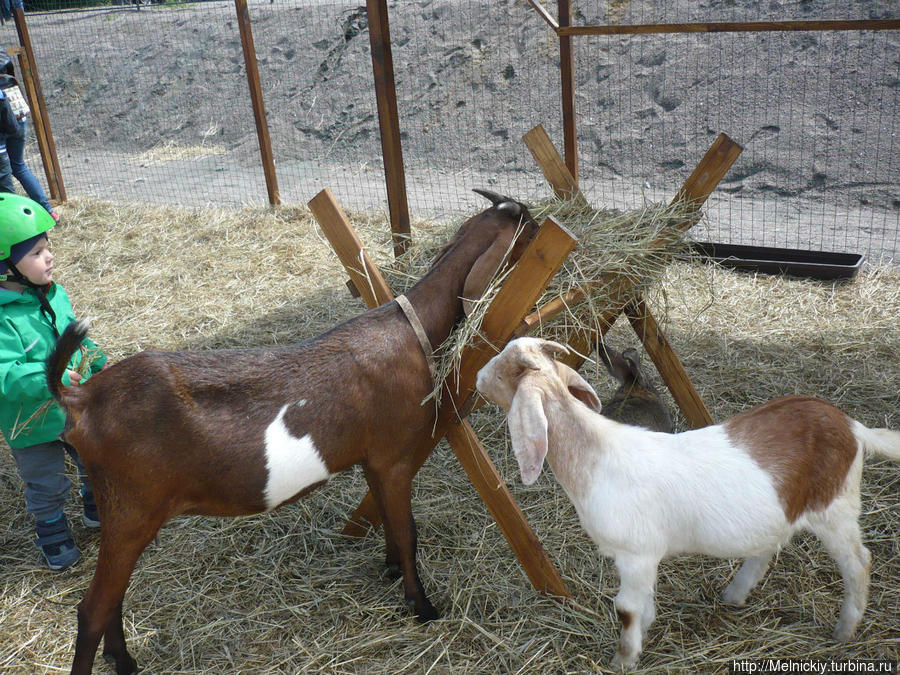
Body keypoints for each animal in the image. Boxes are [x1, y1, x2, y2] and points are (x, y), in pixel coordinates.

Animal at [47, 191, 536, 675]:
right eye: (530, 231)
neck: (413, 330)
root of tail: (81, 397)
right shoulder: (393, 457)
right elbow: (408, 532)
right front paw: (422, 607)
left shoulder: (371, 461)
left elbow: (389, 523)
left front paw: (391, 570)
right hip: (130, 510)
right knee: (92, 608)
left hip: (125, 514)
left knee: (114, 596)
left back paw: (124, 660)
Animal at [474, 338, 896, 672]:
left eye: (504, 369)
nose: (476, 377)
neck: (595, 455)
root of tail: (853, 427)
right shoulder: (644, 559)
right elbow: (643, 602)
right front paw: (644, 631)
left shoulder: (634, 553)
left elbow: (626, 608)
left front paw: (623, 659)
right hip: (784, 510)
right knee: (769, 547)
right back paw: (734, 595)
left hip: (836, 508)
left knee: (858, 563)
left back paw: (844, 631)